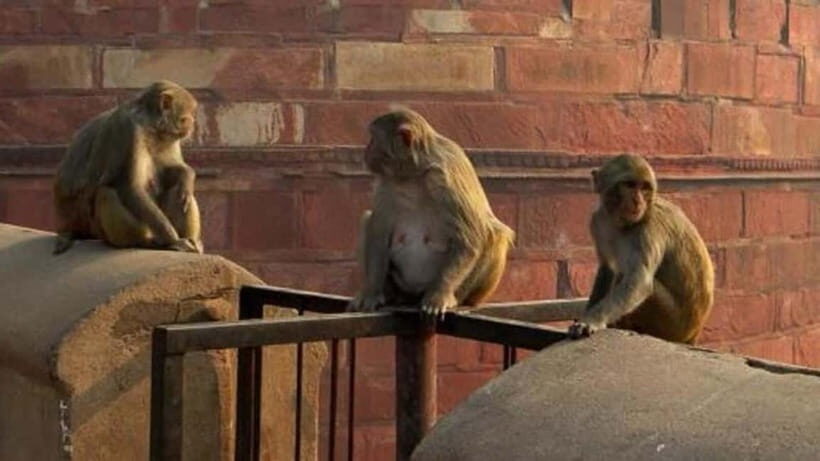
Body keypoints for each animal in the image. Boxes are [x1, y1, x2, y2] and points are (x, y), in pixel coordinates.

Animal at [53, 80, 203, 255]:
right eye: (186, 118)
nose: (192, 125)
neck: (152, 127)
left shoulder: (168, 139)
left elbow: (170, 172)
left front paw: (187, 176)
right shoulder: (128, 130)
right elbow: (132, 188)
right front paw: (173, 238)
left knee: (178, 190)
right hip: (101, 230)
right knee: (106, 192)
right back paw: (145, 242)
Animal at [348, 108, 515, 319]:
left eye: (373, 138)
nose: (366, 151)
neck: (413, 175)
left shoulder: (444, 179)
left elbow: (470, 237)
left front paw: (439, 296)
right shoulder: (385, 183)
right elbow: (378, 232)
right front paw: (371, 292)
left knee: (495, 234)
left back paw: (458, 300)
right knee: (367, 220)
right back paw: (392, 296)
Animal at [568, 154, 714, 344]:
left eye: (644, 187)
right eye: (629, 185)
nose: (638, 201)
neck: (620, 223)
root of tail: (694, 331)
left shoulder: (648, 229)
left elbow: (639, 281)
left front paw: (592, 320)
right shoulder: (597, 220)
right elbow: (607, 268)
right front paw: (587, 313)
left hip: (673, 323)